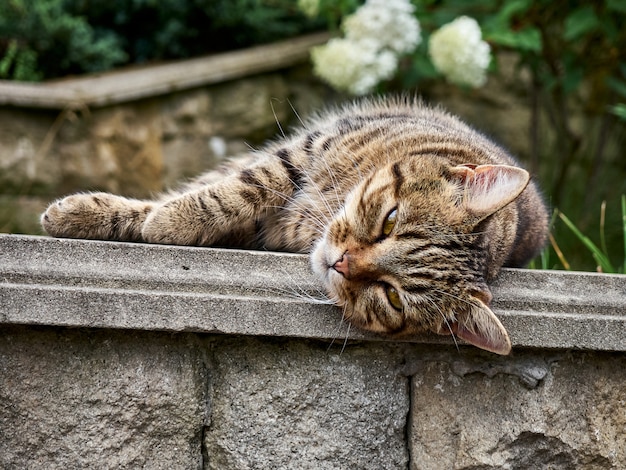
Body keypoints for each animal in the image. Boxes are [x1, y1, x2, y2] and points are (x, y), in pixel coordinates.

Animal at [41, 96, 544, 356]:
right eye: (390, 220)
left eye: (392, 297)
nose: (341, 262)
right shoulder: (303, 150)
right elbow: (241, 189)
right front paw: (160, 217)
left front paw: (161, 222)